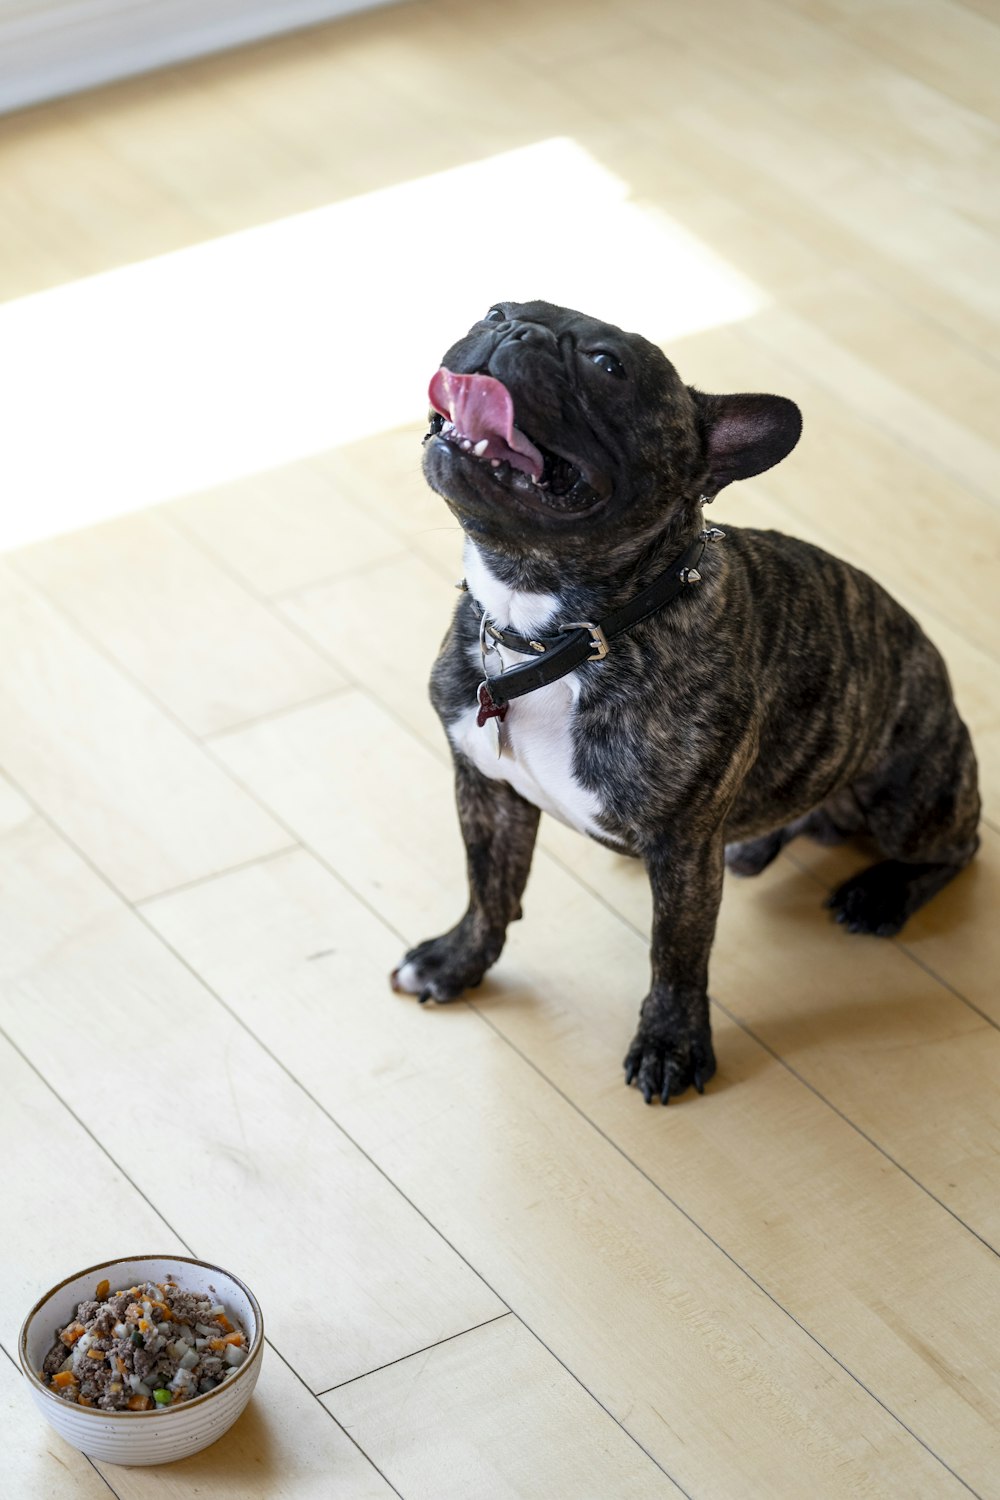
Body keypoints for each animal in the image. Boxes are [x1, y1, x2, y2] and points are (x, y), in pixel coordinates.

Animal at [389, 301, 977, 1104]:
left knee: (957, 847)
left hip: (907, 797)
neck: (555, 635)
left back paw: (879, 895)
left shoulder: (684, 847)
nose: (513, 328)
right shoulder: (487, 787)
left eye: (607, 366)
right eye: (493, 308)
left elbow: (677, 953)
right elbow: (489, 889)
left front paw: (671, 1043)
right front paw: (456, 961)